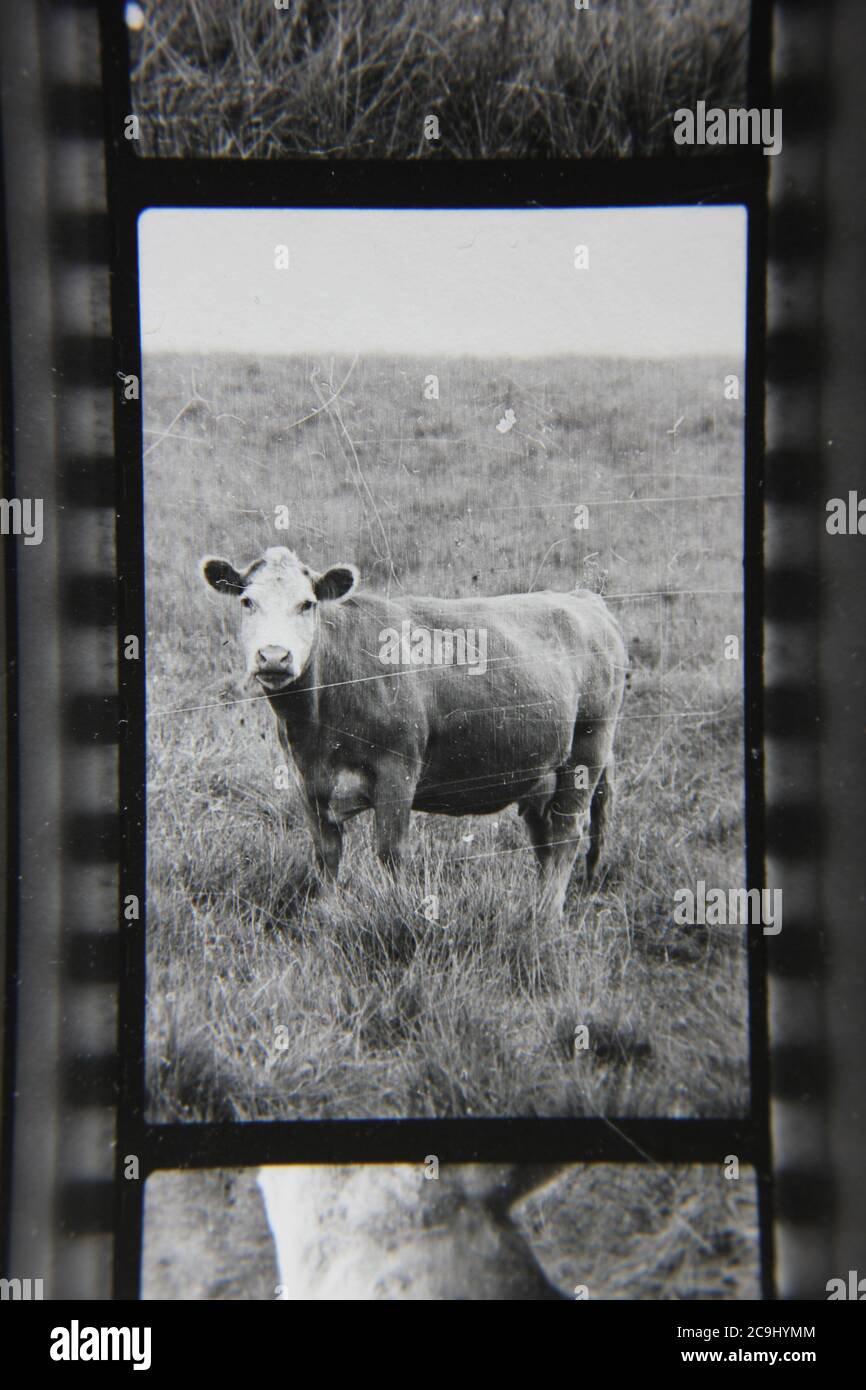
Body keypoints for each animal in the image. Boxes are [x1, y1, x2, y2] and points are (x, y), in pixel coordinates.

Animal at [200, 544, 625, 922]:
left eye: (307, 604)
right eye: (247, 602)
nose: (274, 656)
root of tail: (584, 598)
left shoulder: (396, 770)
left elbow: (389, 852)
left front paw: (392, 911)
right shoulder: (308, 782)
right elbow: (326, 856)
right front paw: (328, 914)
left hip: (588, 747)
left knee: (567, 832)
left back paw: (547, 917)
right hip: (540, 770)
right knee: (545, 838)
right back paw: (537, 906)